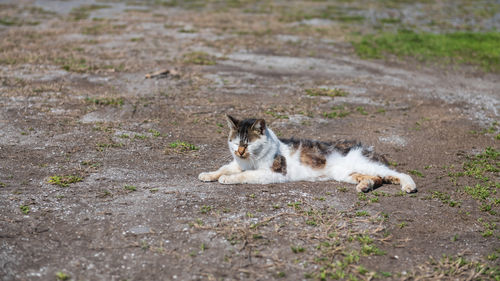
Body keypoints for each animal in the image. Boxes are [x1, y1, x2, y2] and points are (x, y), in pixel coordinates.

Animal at [197, 114, 416, 192]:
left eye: (248, 144)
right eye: (235, 143)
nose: (240, 152)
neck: (250, 160)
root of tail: (369, 147)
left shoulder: (274, 173)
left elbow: (245, 176)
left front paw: (227, 179)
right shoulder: (237, 163)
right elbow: (224, 167)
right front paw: (209, 174)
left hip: (366, 163)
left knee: (398, 174)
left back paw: (409, 186)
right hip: (345, 173)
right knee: (376, 178)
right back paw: (365, 185)